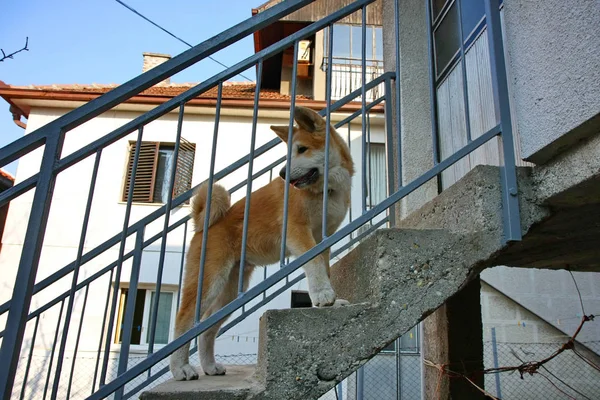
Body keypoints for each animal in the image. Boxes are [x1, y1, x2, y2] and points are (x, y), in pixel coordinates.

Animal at [169, 104, 354, 380]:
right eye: (290, 152)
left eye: (302, 149)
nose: (282, 173)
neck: (326, 190)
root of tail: (205, 225)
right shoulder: (297, 232)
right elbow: (314, 265)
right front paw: (322, 295)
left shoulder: (325, 237)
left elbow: (323, 268)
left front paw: (326, 301)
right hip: (209, 282)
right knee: (183, 322)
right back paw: (181, 368)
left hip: (230, 291)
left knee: (207, 329)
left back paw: (209, 366)